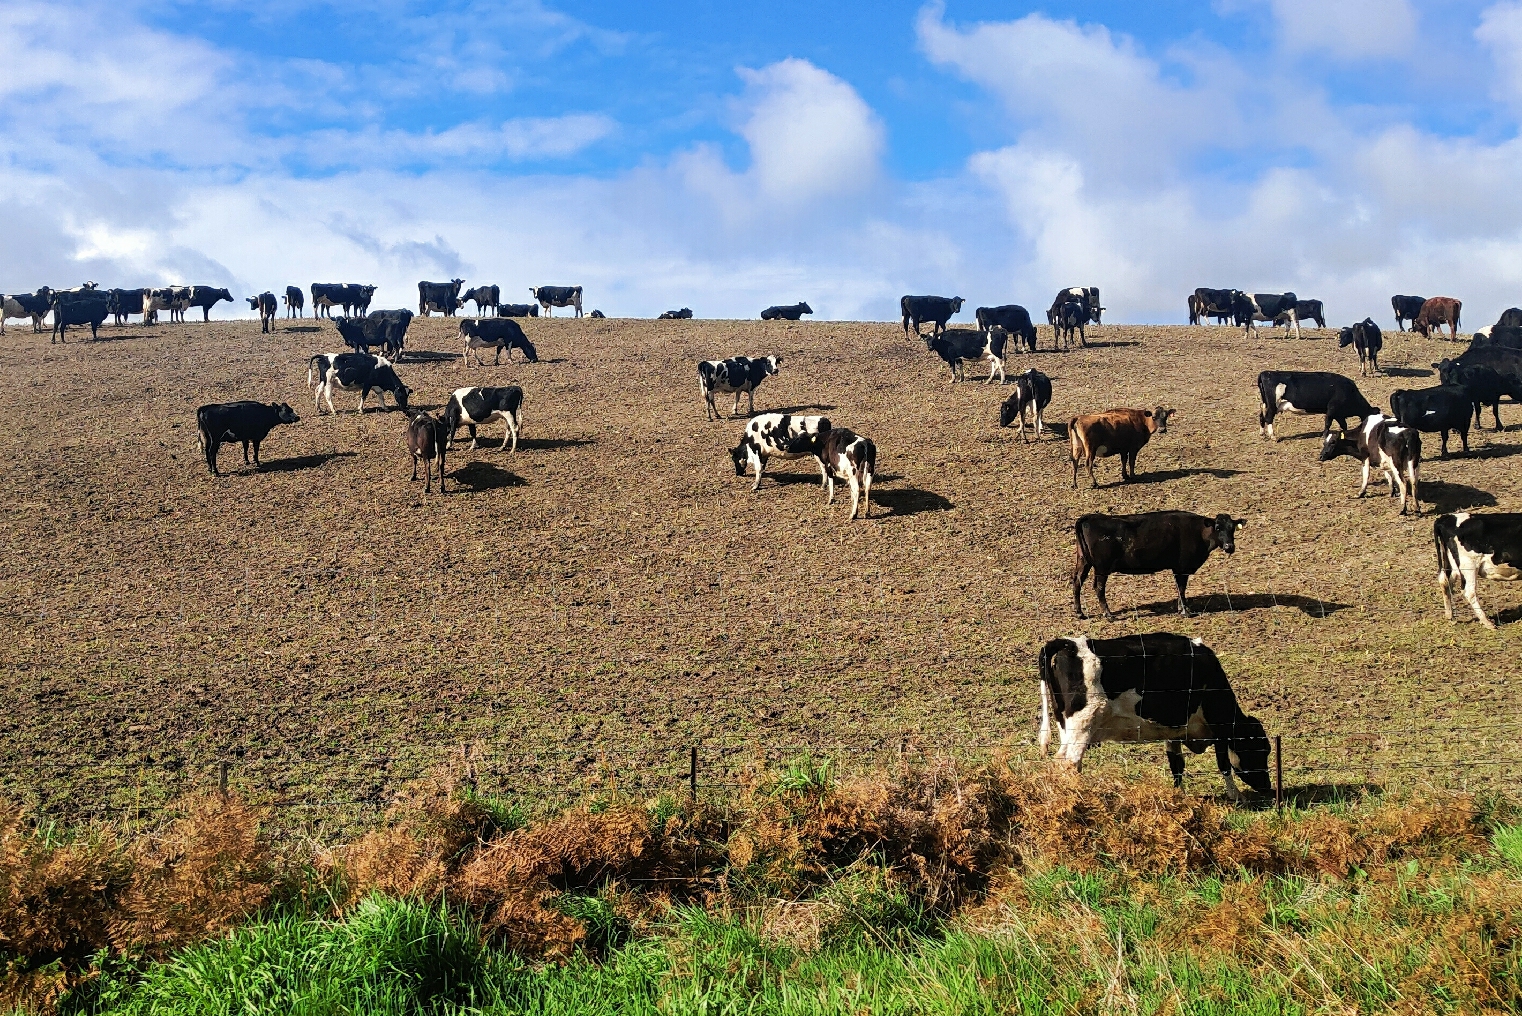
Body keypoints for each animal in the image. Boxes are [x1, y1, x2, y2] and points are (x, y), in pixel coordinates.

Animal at [1034, 635, 1272, 803]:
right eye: (1259, 750)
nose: (1268, 788)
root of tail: (1070, 644)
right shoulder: (1220, 726)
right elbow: (1224, 764)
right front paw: (1237, 796)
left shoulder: (1174, 731)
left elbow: (1177, 765)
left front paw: (1178, 796)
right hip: (1083, 724)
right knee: (1071, 763)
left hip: (1066, 727)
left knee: (1063, 761)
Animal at [1065, 508, 1241, 620]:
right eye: (1217, 527)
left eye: (1232, 528)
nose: (1229, 546)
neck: (1199, 532)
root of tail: (1090, 517)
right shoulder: (1182, 567)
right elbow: (1181, 588)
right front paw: (1185, 611)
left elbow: (1180, 589)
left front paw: (1182, 608)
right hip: (1102, 567)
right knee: (1099, 588)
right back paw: (1108, 615)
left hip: (1084, 560)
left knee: (1077, 581)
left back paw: (1079, 613)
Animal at [1248, 369, 1381, 441]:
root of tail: (1266, 373)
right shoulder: (1332, 409)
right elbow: (1328, 423)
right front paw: (1325, 435)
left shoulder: (1339, 413)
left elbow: (1344, 425)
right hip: (1273, 405)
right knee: (1269, 418)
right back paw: (1273, 436)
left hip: (1265, 404)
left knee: (1262, 416)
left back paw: (1262, 433)